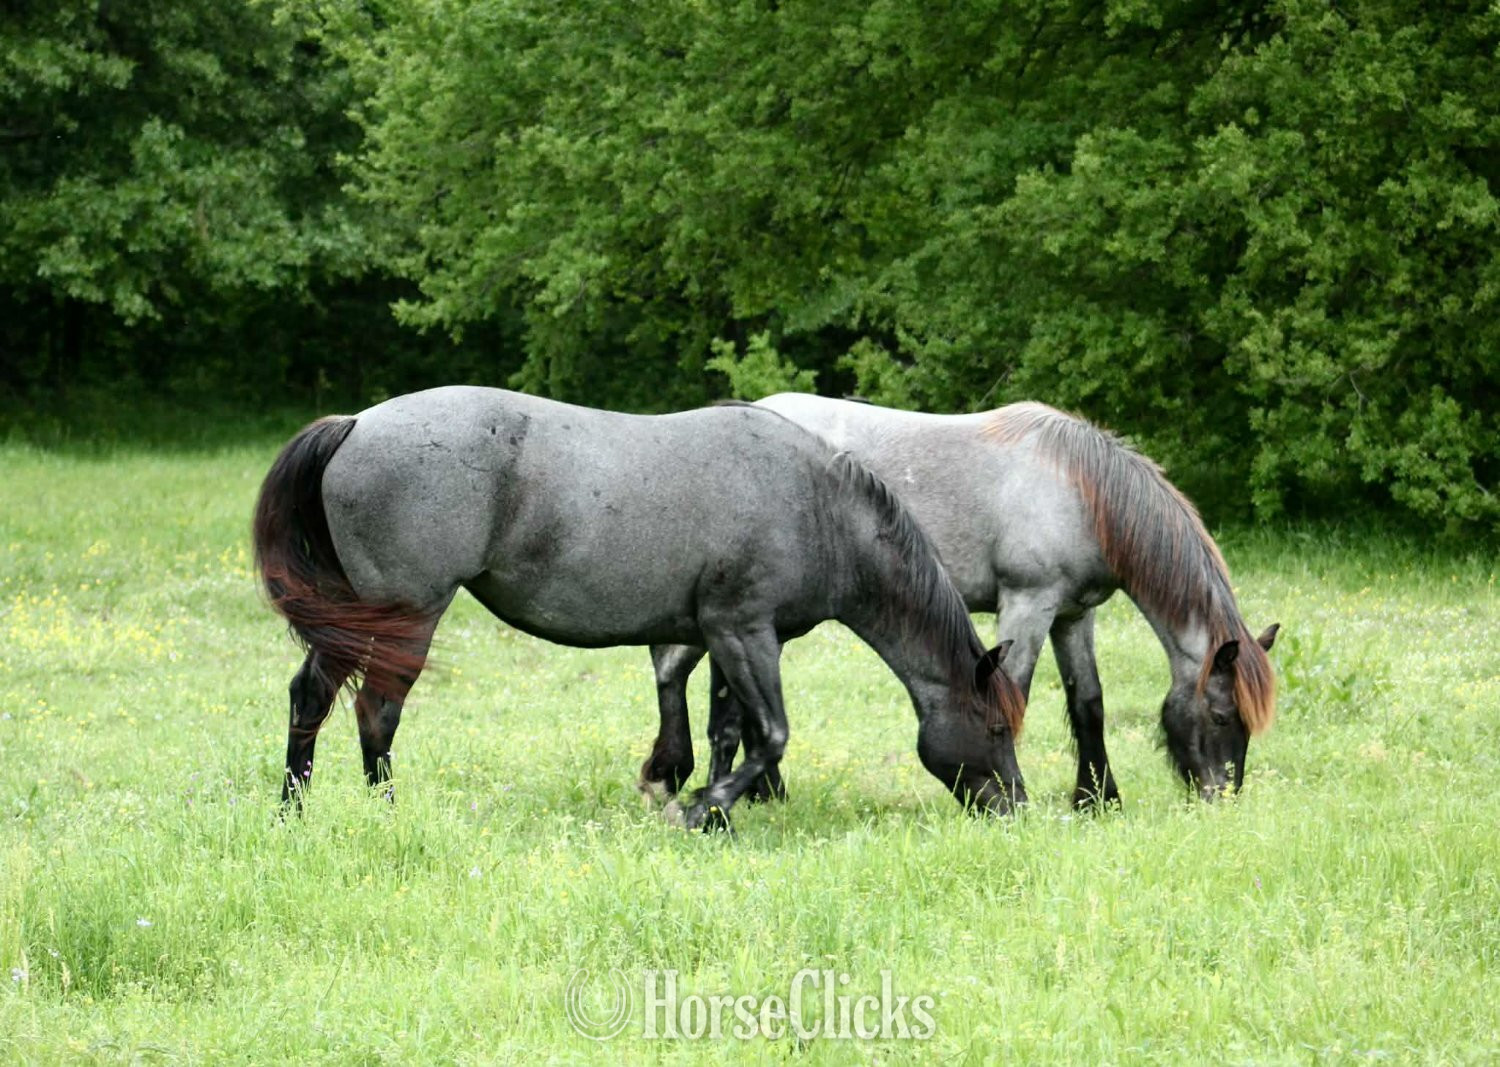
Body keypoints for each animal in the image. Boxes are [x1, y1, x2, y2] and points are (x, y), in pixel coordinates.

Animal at [251, 386, 1027, 829]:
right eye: (995, 727)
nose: (1016, 807)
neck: (816, 505)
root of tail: (355, 424)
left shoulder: (730, 637)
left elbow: (729, 730)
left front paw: (712, 807)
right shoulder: (743, 631)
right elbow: (771, 733)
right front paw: (701, 809)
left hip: (355, 618)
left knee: (310, 698)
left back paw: (293, 813)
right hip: (406, 616)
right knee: (376, 712)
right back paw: (386, 815)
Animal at [641, 394, 1278, 808]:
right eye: (1223, 715)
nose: (1223, 796)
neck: (1077, 489)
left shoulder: (1075, 615)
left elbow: (1089, 704)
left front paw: (1097, 800)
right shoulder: (1027, 604)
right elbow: (1016, 694)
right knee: (679, 670)